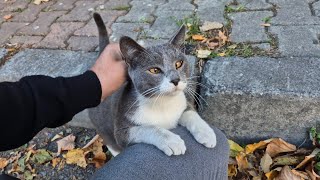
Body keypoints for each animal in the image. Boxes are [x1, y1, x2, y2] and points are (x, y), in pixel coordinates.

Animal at [89, 12, 216, 156]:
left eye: (179, 63)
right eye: (154, 70)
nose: (175, 79)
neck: (163, 104)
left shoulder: (183, 104)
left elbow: (191, 113)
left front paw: (207, 132)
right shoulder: (122, 131)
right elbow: (147, 128)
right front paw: (172, 140)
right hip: (103, 128)